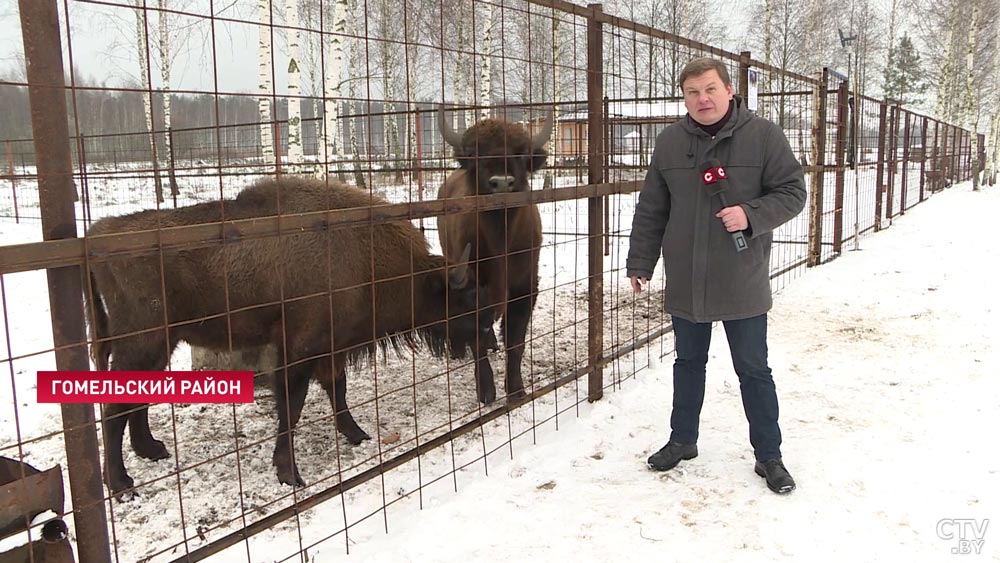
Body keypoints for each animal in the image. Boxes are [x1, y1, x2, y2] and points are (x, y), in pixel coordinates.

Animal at [88, 177, 486, 498]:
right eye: (463, 297)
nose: (487, 332)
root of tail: (100, 233)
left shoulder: (330, 348)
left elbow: (337, 390)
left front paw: (357, 434)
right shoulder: (299, 350)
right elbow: (292, 408)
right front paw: (289, 474)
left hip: (158, 346)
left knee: (135, 398)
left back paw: (152, 450)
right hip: (143, 343)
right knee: (114, 409)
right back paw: (122, 485)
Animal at [434, 107, 552, 406]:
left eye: (521, 154)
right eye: (475, 154)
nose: (501, 183)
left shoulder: (524, 288)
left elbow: (516, 341)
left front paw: (517, 391)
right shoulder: (473, 289)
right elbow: (477, 339)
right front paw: (486, 393)